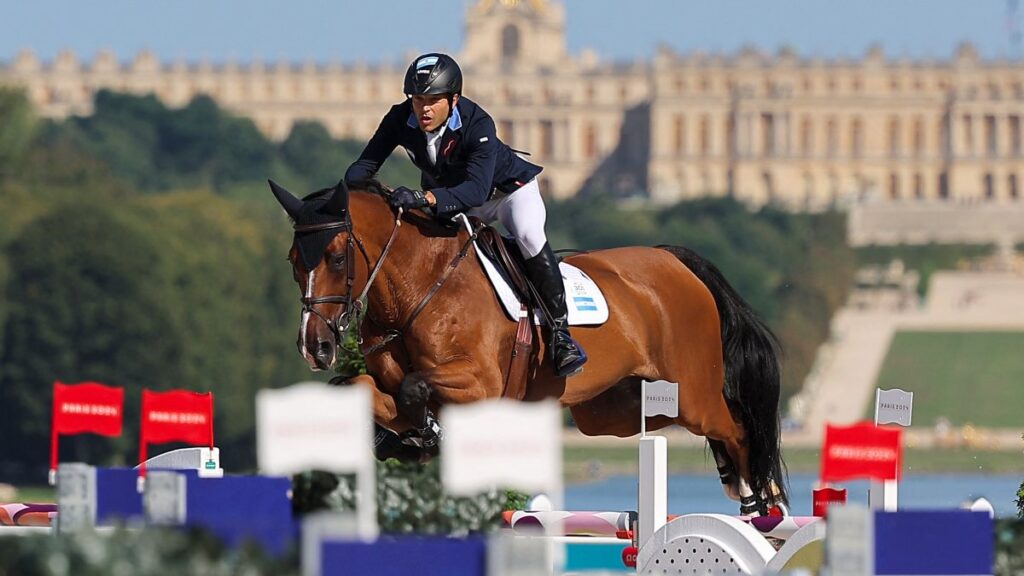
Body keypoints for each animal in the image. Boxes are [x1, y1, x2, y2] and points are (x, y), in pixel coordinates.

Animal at [268, 178, 786, 510]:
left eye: (336, 257)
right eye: (293, 260)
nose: (314, 347)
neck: (418, 287)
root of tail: (673, 259)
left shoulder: (479, 385)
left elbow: (416, 386)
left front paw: (424, 434)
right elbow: (359, 389)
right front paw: (406, 439)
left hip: (695, 394)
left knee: (738, 426)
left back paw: (761, 499)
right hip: (614, 411)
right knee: (682, 425)